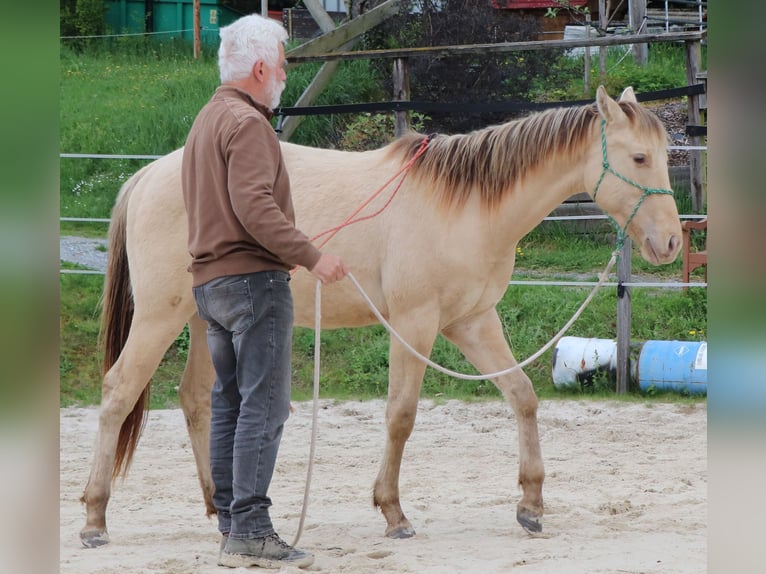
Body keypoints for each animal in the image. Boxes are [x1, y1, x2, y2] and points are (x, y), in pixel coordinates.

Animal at [79, 86, 682, 547]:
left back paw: (218, 509)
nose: (672, 243)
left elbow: (522, 396)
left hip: (206, 323)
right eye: (639, 158)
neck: (466, 207)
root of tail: (146, 178)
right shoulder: (414, 324)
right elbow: (401, 415)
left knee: (195, 400)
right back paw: (95, 517)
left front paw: (531, 503)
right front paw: (393, 513)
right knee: (119, 392)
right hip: (159, 319)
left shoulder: (473, 322)